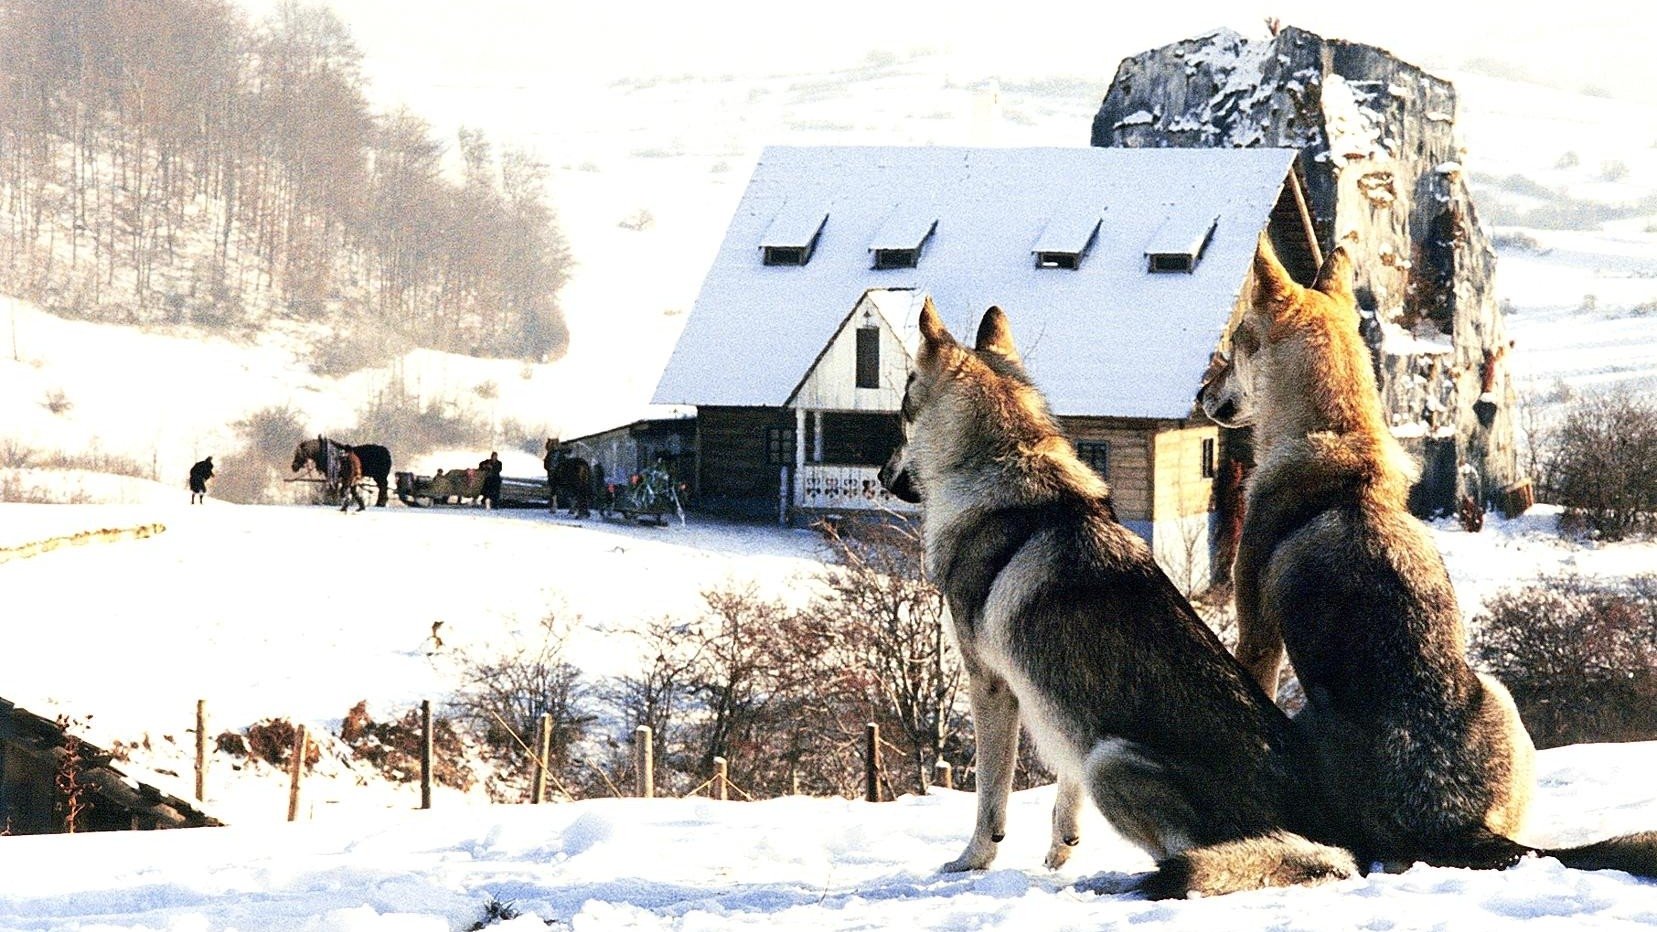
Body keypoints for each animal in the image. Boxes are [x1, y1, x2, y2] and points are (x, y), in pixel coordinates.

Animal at [881, 301, 1358, 895]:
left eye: (900, 417)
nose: (880, 473)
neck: (1006, 469)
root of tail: (1331, 843)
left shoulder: (992, 686)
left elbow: (990, 802)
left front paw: (970, 863)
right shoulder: (1062, 709)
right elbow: (1064, 789)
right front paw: (1059, 851)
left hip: (1109, 761)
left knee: (1188, 862)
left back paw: (1114, 883)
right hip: (1102, 756)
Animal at [1199, 232, 1657, 868]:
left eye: (1234, 344)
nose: (1200, 393)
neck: (1337, 436)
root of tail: (1453, 822)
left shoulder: (1259, 636)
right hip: (1502, 695)